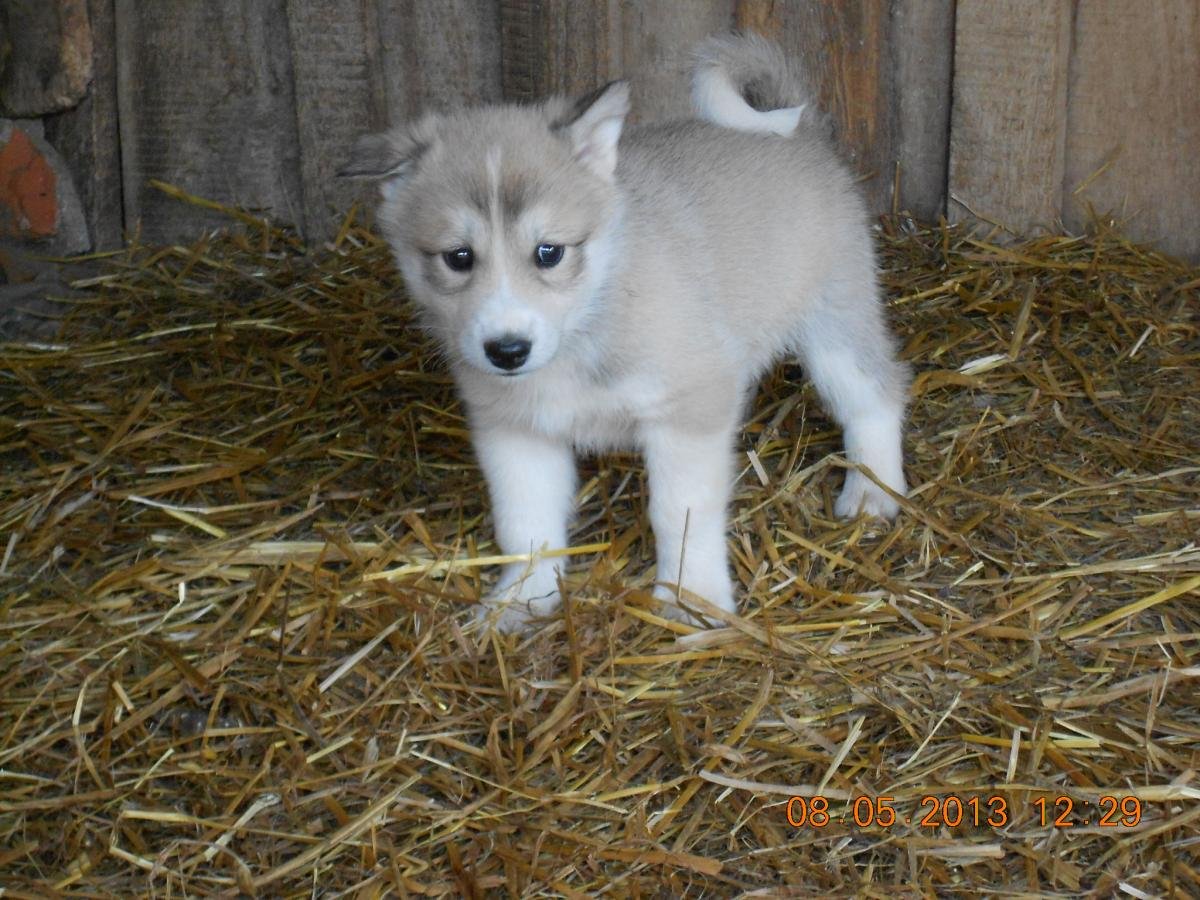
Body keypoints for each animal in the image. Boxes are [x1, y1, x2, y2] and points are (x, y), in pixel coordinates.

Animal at [343, 33, 902, 628]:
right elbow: (525, 524)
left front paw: (690, 598)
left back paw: (873, 492)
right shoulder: (516, 431)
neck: (588, 320)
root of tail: (803, 132)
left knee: (877, 395)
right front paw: (523, 598)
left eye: (549, 252)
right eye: (458, 258)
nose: (508, 351)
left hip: (835, 325)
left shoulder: (689, 410)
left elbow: (680, 512)